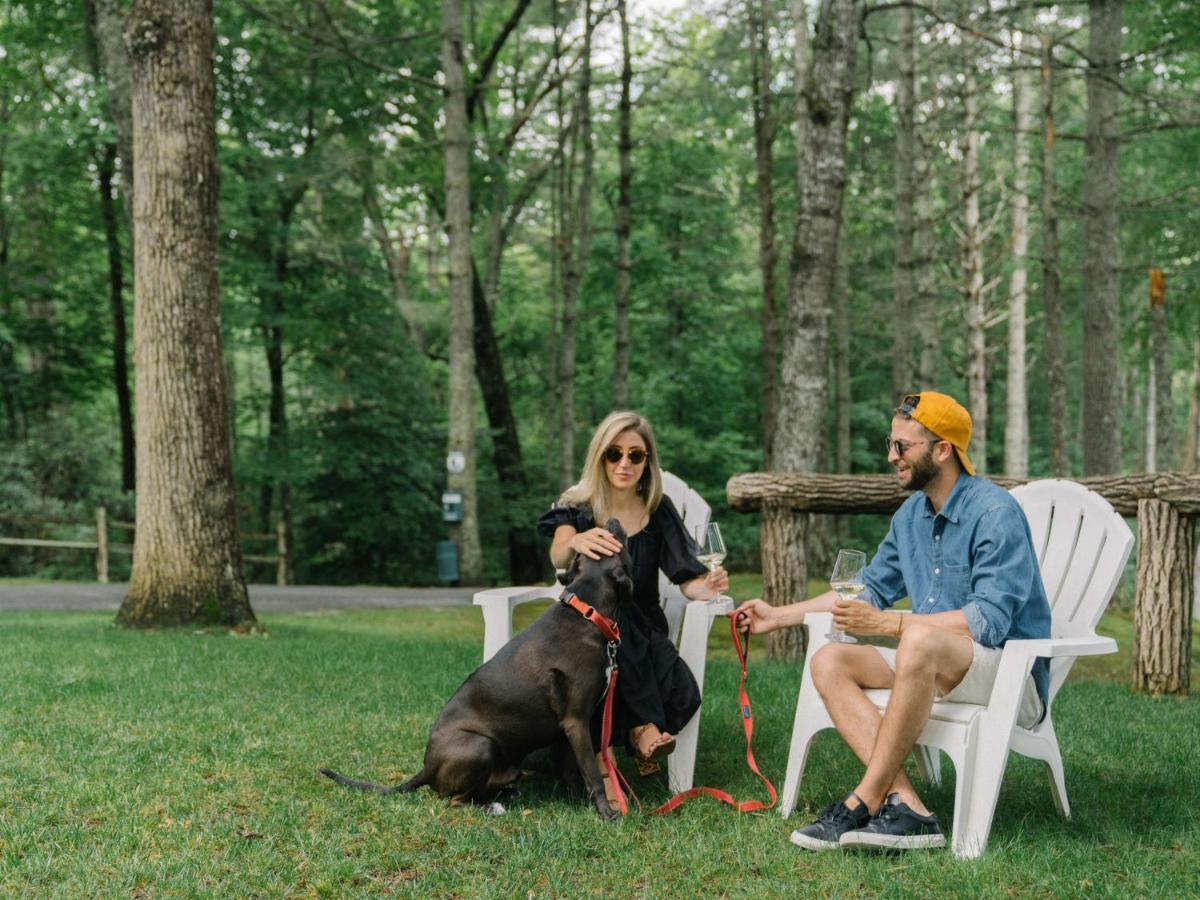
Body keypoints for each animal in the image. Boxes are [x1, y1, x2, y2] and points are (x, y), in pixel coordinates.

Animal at [319, 518, 638, 820]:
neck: (588, 613)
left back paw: (505, 795)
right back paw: (490, 808)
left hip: (508, 765)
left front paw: (580, 803)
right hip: (479, 746)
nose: (610, 521)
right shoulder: (576, 721)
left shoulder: (567, 728)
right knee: (455, 801)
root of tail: (426, 768)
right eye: (612, 539)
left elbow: (573, 770)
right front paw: (607, 812)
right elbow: (592, 773)